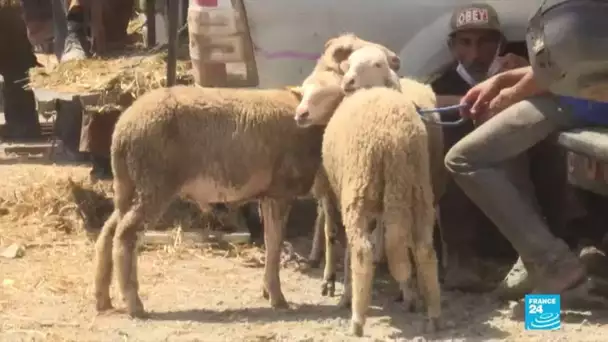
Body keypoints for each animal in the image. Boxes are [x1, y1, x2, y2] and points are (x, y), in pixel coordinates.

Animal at [93, 83, 346, 318]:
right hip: (154, 184)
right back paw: (134, 304)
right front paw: (277, 298)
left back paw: (102, 298)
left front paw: (268, 291)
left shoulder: (268, 194)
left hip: (130, 186)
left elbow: (270, 241)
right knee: (125, 234)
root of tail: (122, 129)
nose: (302, 115)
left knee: (108, 232)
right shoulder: (280, 191)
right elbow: (274, 244)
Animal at [296, 84, 442, 336]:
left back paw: (357, 320)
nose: (300, 114)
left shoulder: (333, 191)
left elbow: (331, 234)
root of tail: (395, 138)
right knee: (423, 249)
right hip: (418, 188)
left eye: (324, 93)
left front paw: (333, 284)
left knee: (362, 252)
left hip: (358, 188)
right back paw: (432, 314)